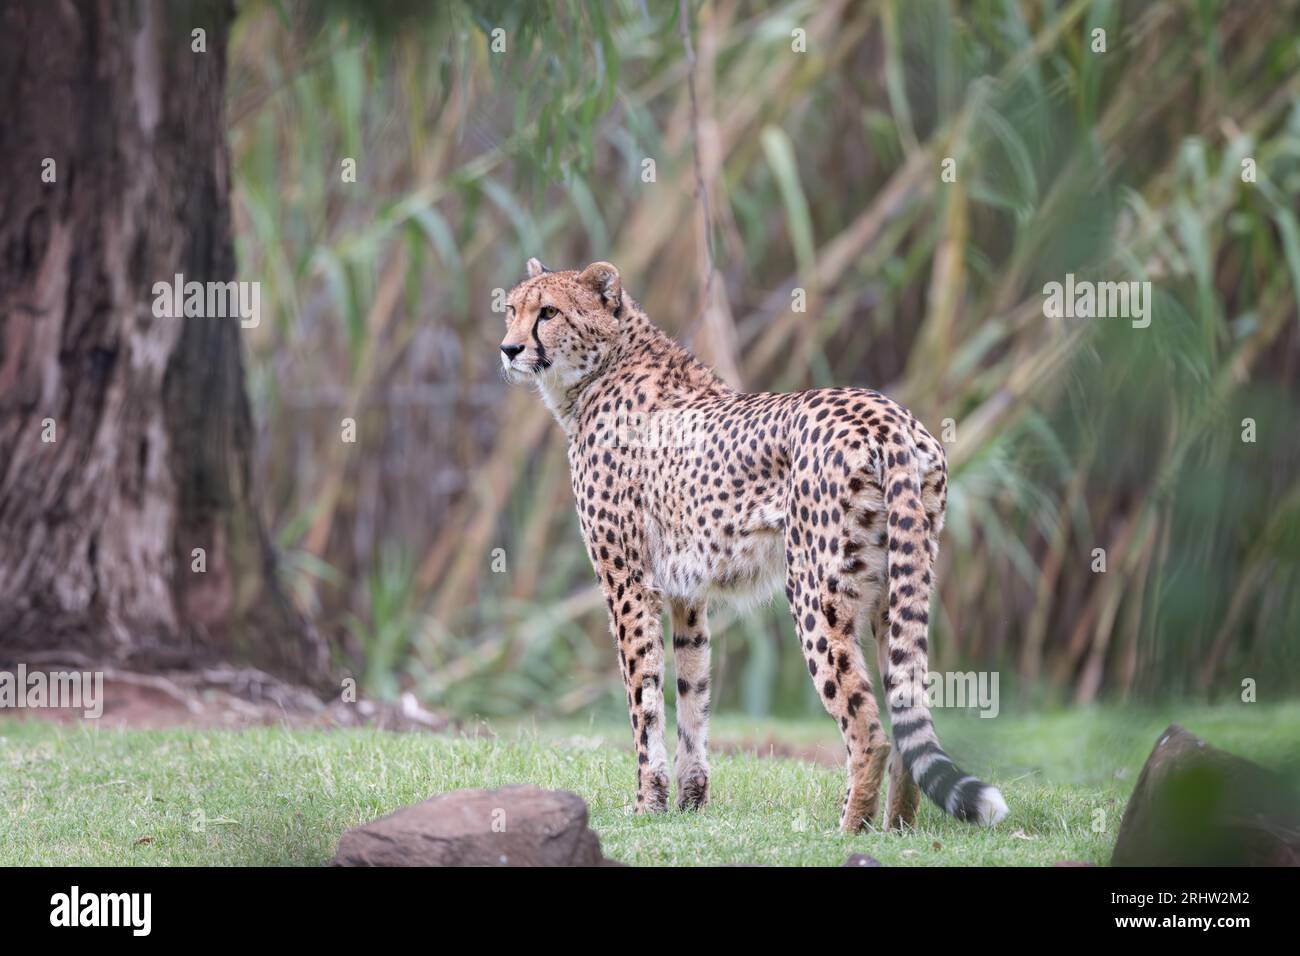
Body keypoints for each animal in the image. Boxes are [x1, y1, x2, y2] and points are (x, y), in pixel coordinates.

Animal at [496, 260, 1003, 832]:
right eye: (511, 309)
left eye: (548, 312)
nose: (509, 348)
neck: (602, 368)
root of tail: (884, 412)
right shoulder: (686, 592)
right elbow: (693, 690)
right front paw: (691, 801)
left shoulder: (628, 583)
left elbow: (642, 695)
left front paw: (647, 803)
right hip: (898, 588)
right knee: (902, 713)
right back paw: (896, 829)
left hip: (814, 591)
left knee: (868, 729)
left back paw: (849, 828)